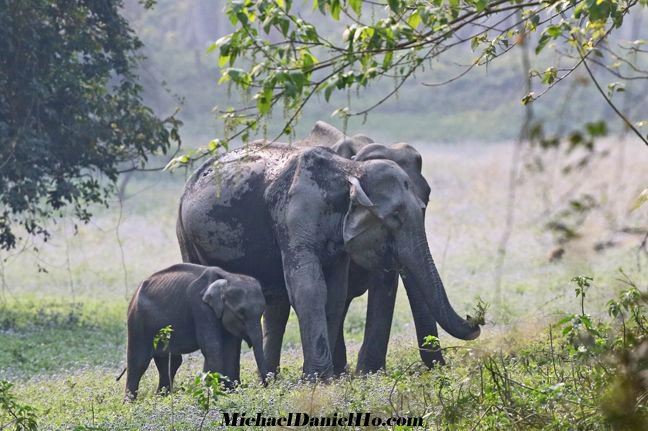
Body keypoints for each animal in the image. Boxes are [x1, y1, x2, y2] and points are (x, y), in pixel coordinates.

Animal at [125, 264, 268, 402]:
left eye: (262, 311)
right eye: (241, 313)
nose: (265, 385)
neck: (229, 276)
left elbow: (231, 348)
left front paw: (230, 391)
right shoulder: (200, 306)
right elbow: (212, 346)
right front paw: (216, 391)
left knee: (170, 363)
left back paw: (161, 398)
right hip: (137, 321)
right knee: (138, 362)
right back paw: (130, 403)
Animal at [177, 139, 480, 378]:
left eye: (425, 204)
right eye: (395, 216)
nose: (475, 318)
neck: (349, 171)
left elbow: (335, 293)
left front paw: (329, 379)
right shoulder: (292, 215)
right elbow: (310, 288)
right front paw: (317, 380)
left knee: (275, 306)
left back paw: (267, 381)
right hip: (186, 234)